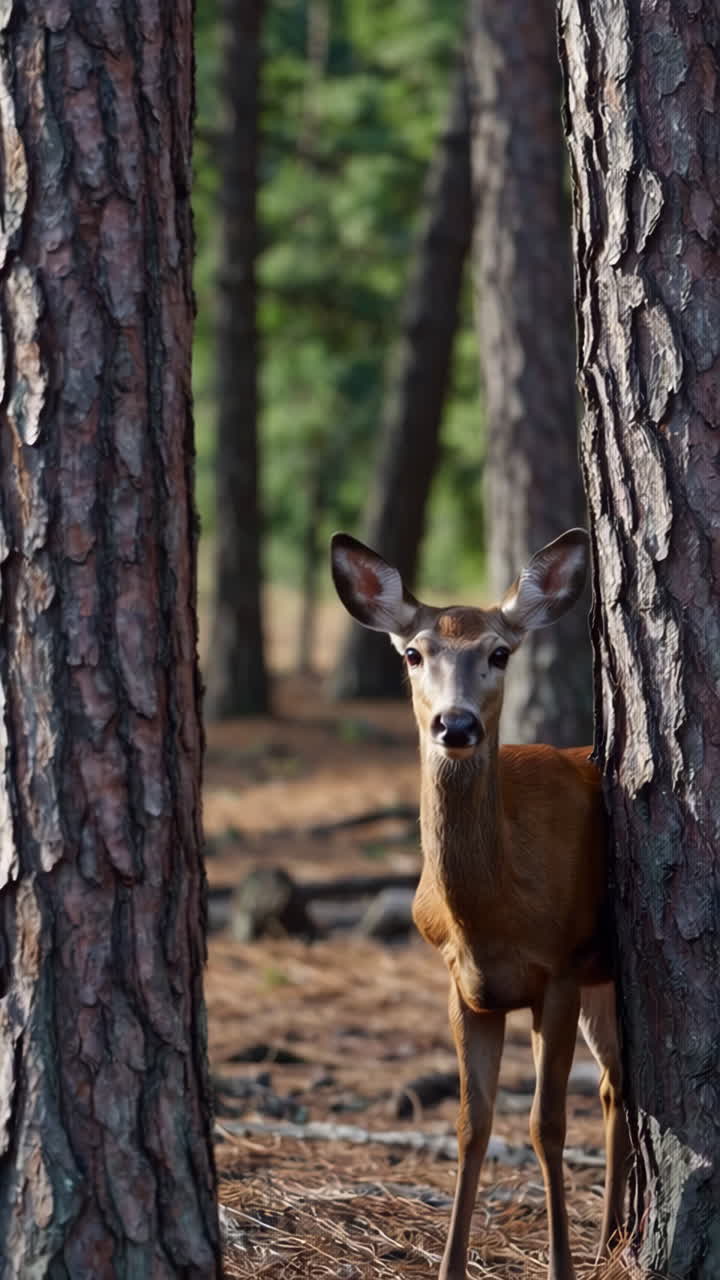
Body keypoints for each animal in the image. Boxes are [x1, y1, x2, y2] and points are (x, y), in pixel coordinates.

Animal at [330, 528, 630, 1280]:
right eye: (413, 653)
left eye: (500, 652)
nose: (456, 724)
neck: (491, 913)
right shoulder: (463, 985)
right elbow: (472, 1124)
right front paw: (449, 1266)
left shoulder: (558, 969)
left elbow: (545, 1124)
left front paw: (559, 1266)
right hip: (601, 981)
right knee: (615, 1084)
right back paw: (613, 1239)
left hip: (596, 973)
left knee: (610, 1088)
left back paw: (605, 1243)